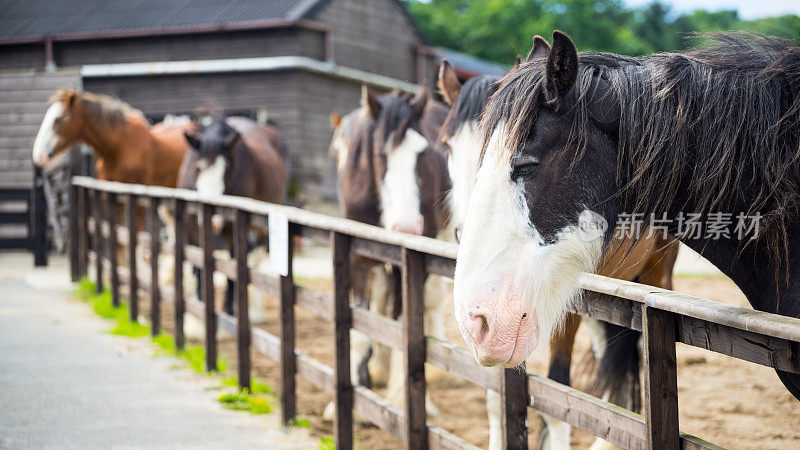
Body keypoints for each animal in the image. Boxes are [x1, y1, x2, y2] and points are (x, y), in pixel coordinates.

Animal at [179, 116, 288, 314]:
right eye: (198, 168)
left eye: (227, 168)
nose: (213, 221)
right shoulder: (191, 223)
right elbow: (198, 264)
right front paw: (198, 306)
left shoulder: (234, 227)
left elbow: (233, 269)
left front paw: (229, 310)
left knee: (257, 258)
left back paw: (255, 310)